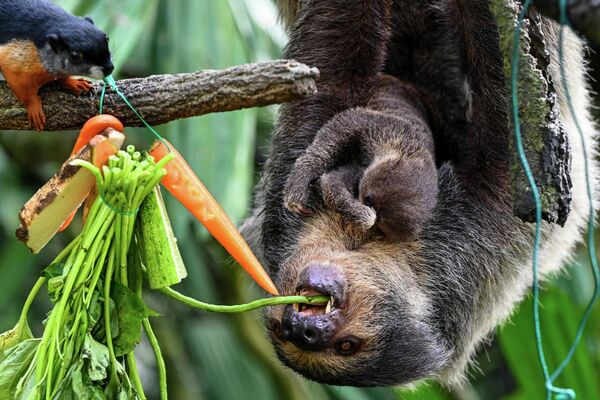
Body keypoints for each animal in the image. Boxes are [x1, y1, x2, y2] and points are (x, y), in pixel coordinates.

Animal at [0, 0, 113, 130]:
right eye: (75, 56)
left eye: (107, 38)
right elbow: (25, 92)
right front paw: (34, 107)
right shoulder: (13, 62)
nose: (110, 68)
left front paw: (74, 82)